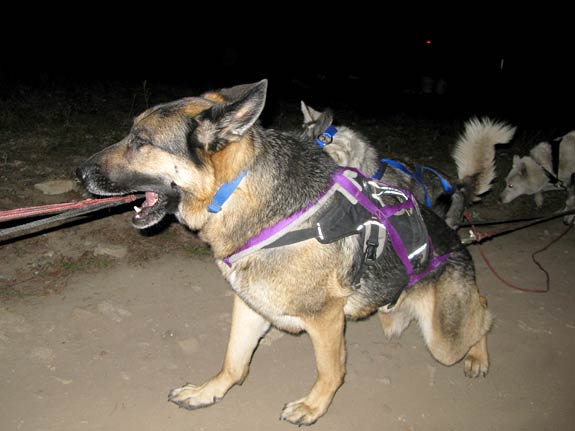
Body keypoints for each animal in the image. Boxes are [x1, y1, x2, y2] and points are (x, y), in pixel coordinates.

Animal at [75, 79, 490, 426]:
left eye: (140, 140)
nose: (78, 172)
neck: (236, 192)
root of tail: (456, 240)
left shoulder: (325, 318)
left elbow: (330, 370)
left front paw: (313, 407)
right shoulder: (251, 304)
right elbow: (234, 361)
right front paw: (208, 392)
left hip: (443, 340)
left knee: (483, 312)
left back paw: (478, 356)